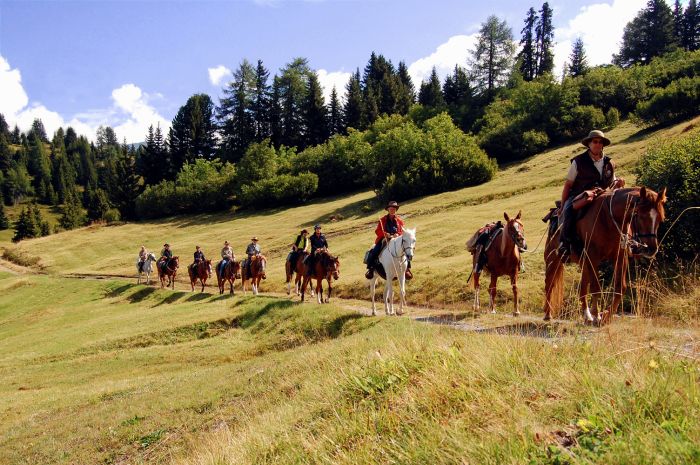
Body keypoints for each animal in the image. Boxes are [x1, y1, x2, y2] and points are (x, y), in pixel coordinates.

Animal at [540, 187, 668, 324]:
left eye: (660, 218)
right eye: (640, 215)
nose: (651, 249)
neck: (608, 219)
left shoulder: (620, 257)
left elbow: (620, 287)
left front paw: (606, 315)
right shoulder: (593, 257)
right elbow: (596, 286)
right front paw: (597, 315)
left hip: (583, 263)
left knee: (582, 288)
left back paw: (587, 316)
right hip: (553, 259)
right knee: (549, 284)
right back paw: (548, 314)